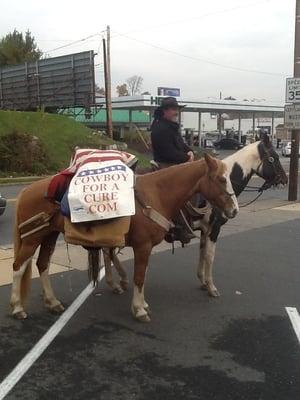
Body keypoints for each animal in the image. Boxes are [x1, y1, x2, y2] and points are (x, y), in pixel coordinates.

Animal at [9, 153, 239, 322]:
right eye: (221, 179)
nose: (234, 210)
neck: (156, 194)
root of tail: (27, 190)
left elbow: (141, 275)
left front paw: (142, 304)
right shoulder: (142, 246)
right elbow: (139, 276)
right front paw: (139, 309)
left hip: (49, 235)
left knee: (43, 265)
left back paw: (52, 302)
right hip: (32, 238)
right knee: (19, 267)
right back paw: (17, 307)